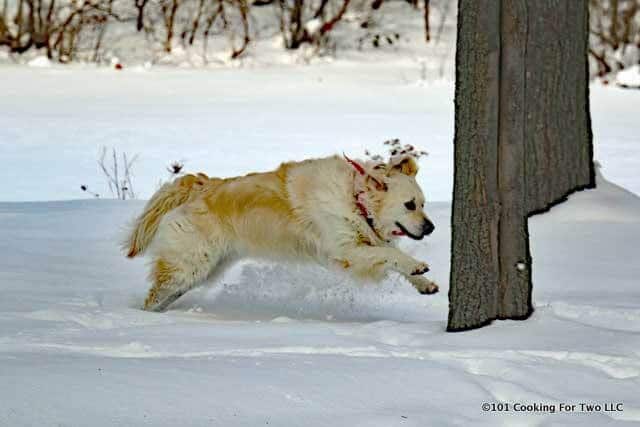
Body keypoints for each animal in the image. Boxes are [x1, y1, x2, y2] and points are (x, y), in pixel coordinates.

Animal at [124, 154, 436, 310]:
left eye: (423, 204)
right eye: (410, 205)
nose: (431, 227)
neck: (354, 198)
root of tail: (201, 185)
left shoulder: (363, 239)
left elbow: (391, 254)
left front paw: (424, 283)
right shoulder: (346, 250)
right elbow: (388, 254)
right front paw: (417, 265)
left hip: (203, 269)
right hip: (191, 264)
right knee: (155, 293)